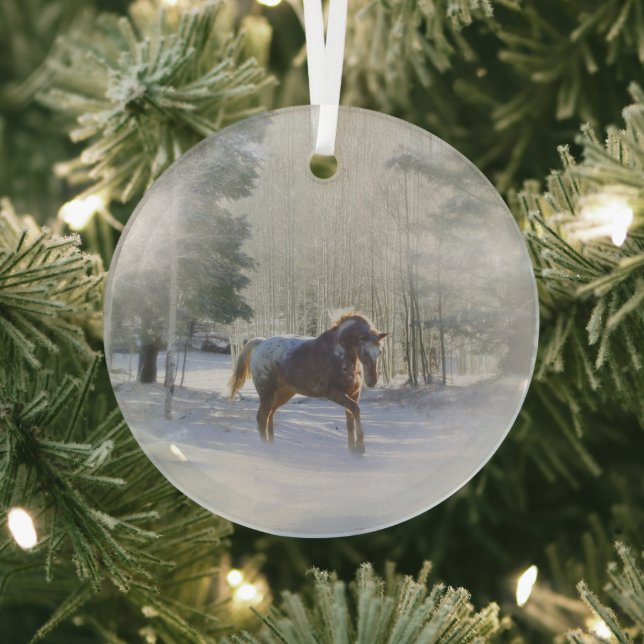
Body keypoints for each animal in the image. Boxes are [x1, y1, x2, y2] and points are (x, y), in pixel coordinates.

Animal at [228, 313, 388, 454]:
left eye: (380, 352)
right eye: (366, 353)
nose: (372, 381)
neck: (340, 355)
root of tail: (261, 342)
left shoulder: (353, 393)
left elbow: (350, 421)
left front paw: (353, 450)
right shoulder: (333, 393)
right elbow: (355, 410)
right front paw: (360, 448)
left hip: (283, 394)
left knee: (269, 416)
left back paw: (272, 446)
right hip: (267, 392)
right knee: (262, 417)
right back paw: (265, 448)